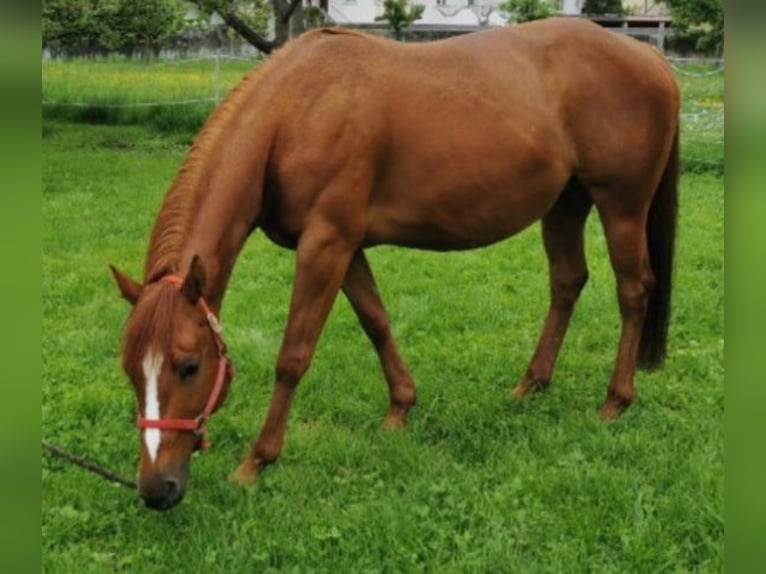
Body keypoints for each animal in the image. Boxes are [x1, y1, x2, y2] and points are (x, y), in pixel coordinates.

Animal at [111, 19, 680, 512]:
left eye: (190, 366)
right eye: (130, 370)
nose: (155, 489)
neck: (295, 110)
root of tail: (649, 56)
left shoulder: (326, 244)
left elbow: (294, 355)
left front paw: (256, 462)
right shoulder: (345, 248)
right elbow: (377, 321)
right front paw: (401, 408)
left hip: (621, 207)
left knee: (634, 291)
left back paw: (615, 402)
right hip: (565, 204)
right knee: (567, 283)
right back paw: (530, 386)